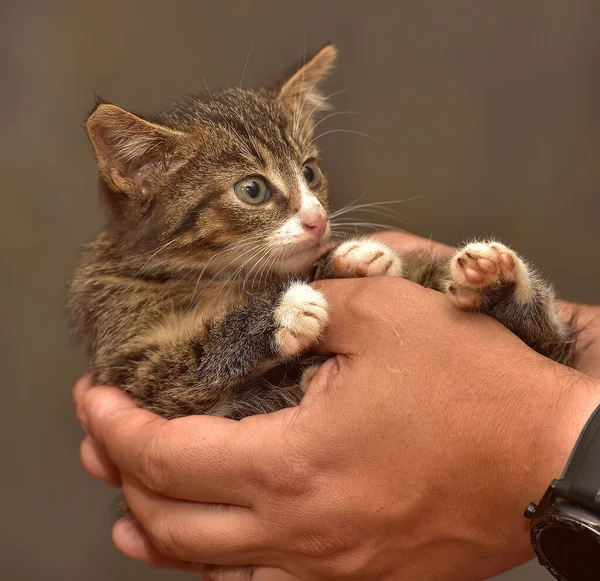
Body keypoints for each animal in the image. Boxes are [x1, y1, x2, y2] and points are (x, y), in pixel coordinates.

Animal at [68, 42, 580, 426]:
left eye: (311, 173)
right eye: (252, 190)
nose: (317, 219)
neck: (216, 275)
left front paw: (349, 260)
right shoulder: (130, 365)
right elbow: (185, 365)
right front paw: (282, 313)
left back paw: (495, 279)